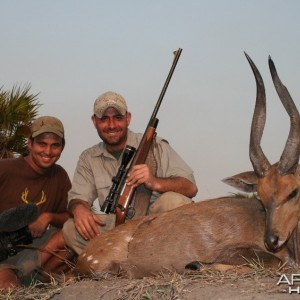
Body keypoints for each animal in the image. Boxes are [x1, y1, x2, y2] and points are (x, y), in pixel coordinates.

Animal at [74, 53, 298, 276]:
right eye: (262, 195)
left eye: (293, 192)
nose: (273, 241)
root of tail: (83, 256)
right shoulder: (233, 250)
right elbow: (276, 262)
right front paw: (197, 265)